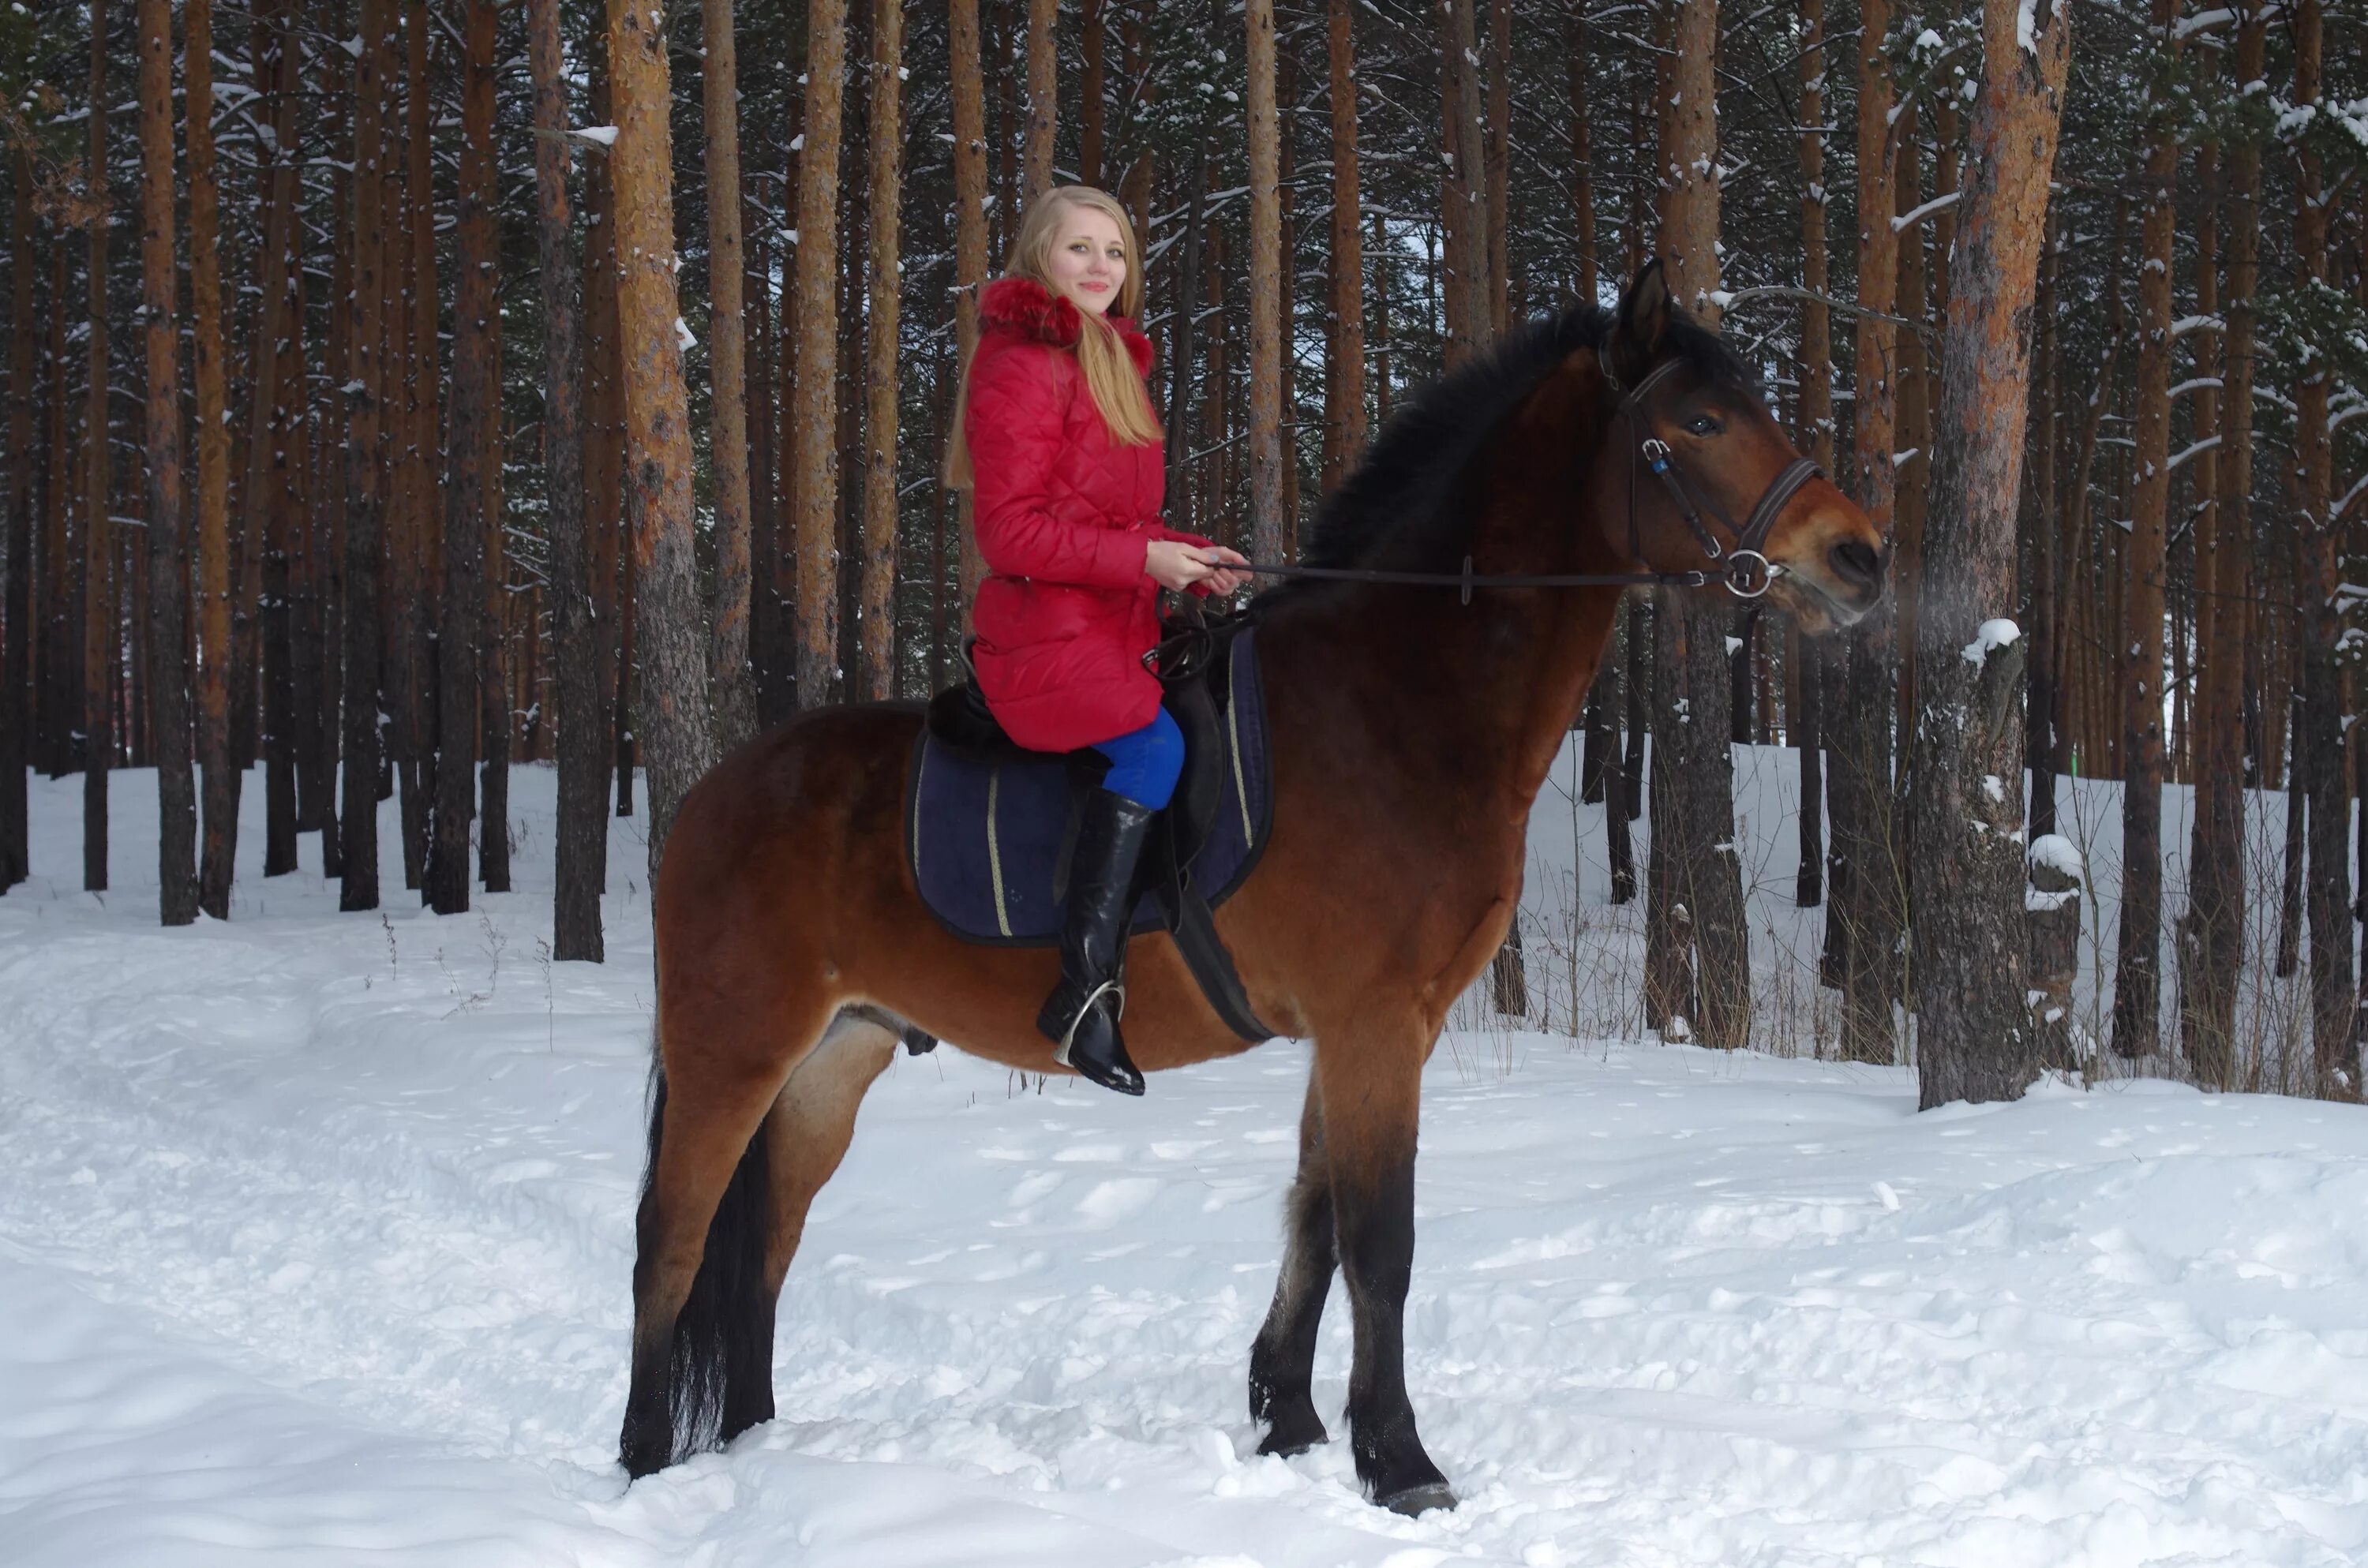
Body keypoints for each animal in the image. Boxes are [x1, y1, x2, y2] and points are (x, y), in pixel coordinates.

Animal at [620, 264, 1894, 1515]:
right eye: (1701, 422)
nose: (1861, 557)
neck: (1397, 702)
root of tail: (714, 791)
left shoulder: (1371, 1030)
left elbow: (1315, 1218)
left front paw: (1289, 1416)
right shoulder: (1374, 1023)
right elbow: (1381, 1241)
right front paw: (1402, 1461)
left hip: (832, 1059)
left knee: (763, 1250)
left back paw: (757, 1448)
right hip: (733, 1050)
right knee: (671, 1245)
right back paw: (641, 1465)